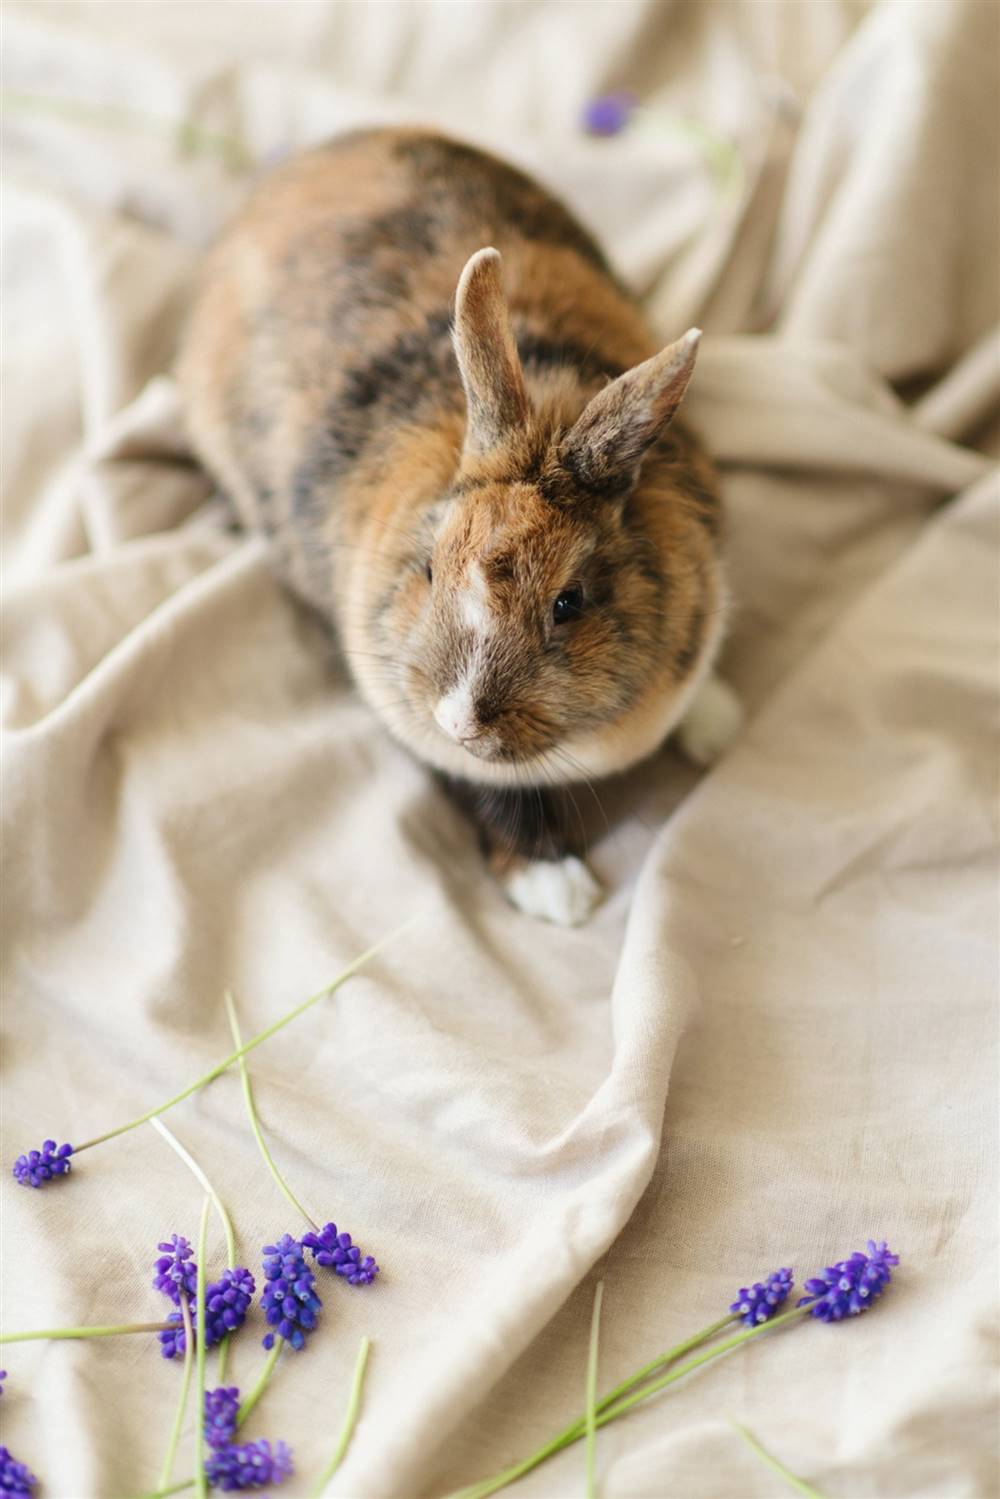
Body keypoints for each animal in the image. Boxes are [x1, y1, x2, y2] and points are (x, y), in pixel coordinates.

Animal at [177, 128, 743, 923]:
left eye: (569, 602)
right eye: (429, 568)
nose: (460, 719)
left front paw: (717, 723)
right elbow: (487, 793)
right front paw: (556, 888)